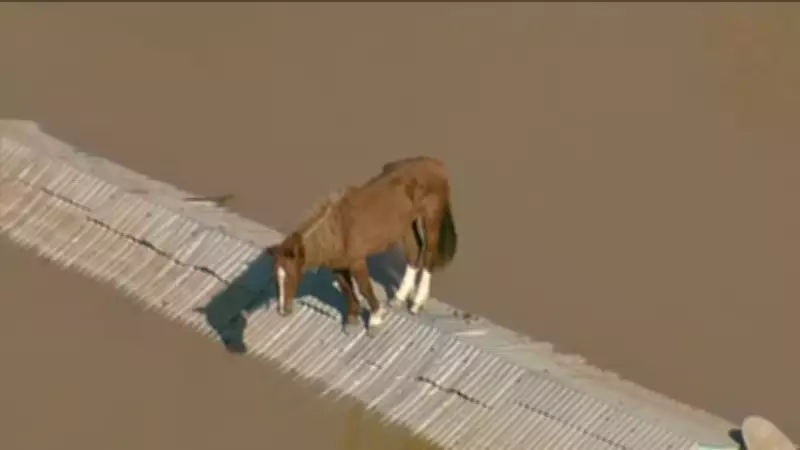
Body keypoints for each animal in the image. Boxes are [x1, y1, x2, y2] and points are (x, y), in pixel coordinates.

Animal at [266, 156, 458, 333]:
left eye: (291, 275)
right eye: (276, 277)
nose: (282, 311)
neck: (338, 230)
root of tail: (436, 163)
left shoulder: (357, 262)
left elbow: (365, 287)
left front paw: (375, 318)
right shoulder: (338, 266)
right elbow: (347, 289)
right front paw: (352, 318)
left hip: (431, 218)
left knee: (429, 254)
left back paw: (417, 302)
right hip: (407, 225)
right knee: (414, 252)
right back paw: (399, 297)